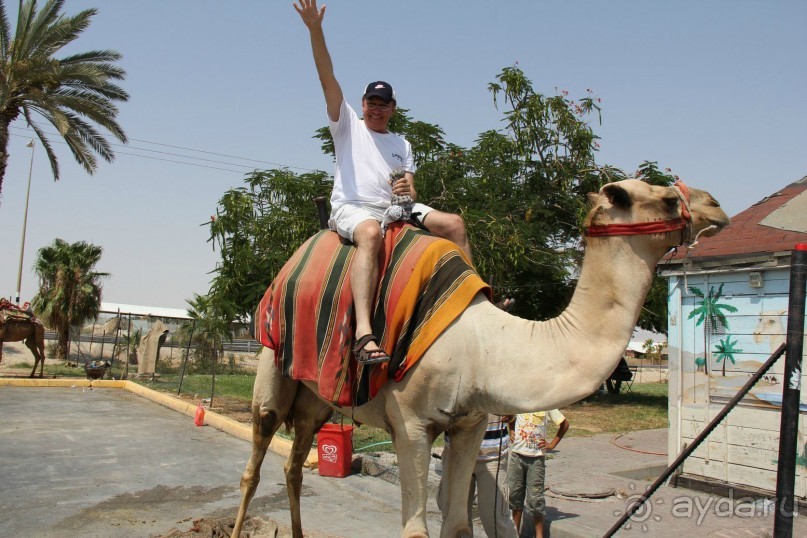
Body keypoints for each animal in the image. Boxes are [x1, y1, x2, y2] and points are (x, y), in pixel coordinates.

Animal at [230, 178, 728, 532]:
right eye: (666, 198)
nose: (716, 206)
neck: (484, 346)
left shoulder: (468, 424)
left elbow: (457, 526)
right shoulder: (411, 425)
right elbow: (416, 530)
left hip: (316, 398)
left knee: (294, 465)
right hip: (273, 363)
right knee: (255, 461)